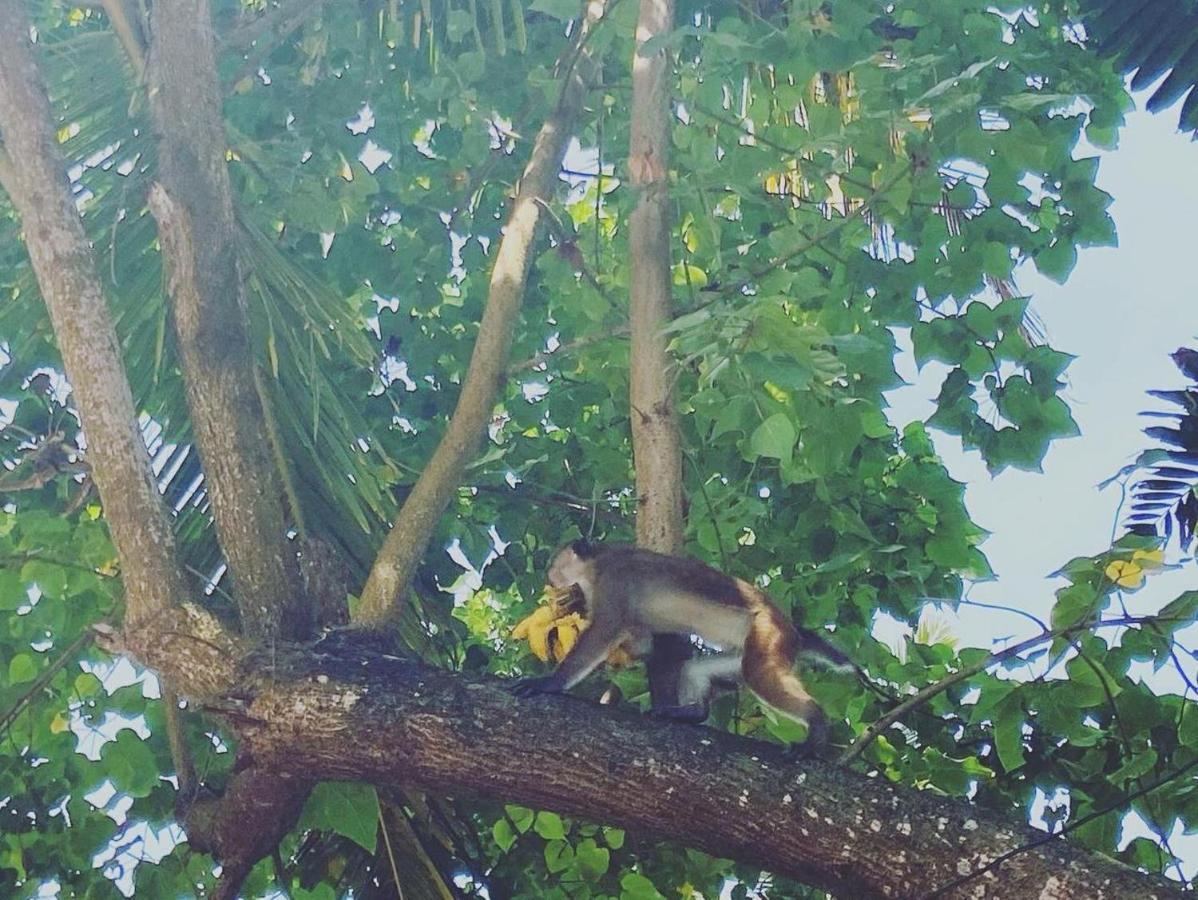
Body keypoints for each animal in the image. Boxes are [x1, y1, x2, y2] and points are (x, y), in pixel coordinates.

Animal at [515, 539, 852, 747]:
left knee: (758, 673)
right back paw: (692, 712)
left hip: (768, 634)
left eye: (553, 563)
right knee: (698, 669)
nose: (549, 574)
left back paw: (816, 723)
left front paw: (549, 683)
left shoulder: (615, 580)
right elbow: (643, 643)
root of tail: (793, 630)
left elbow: (604, 631)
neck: (597, 567)